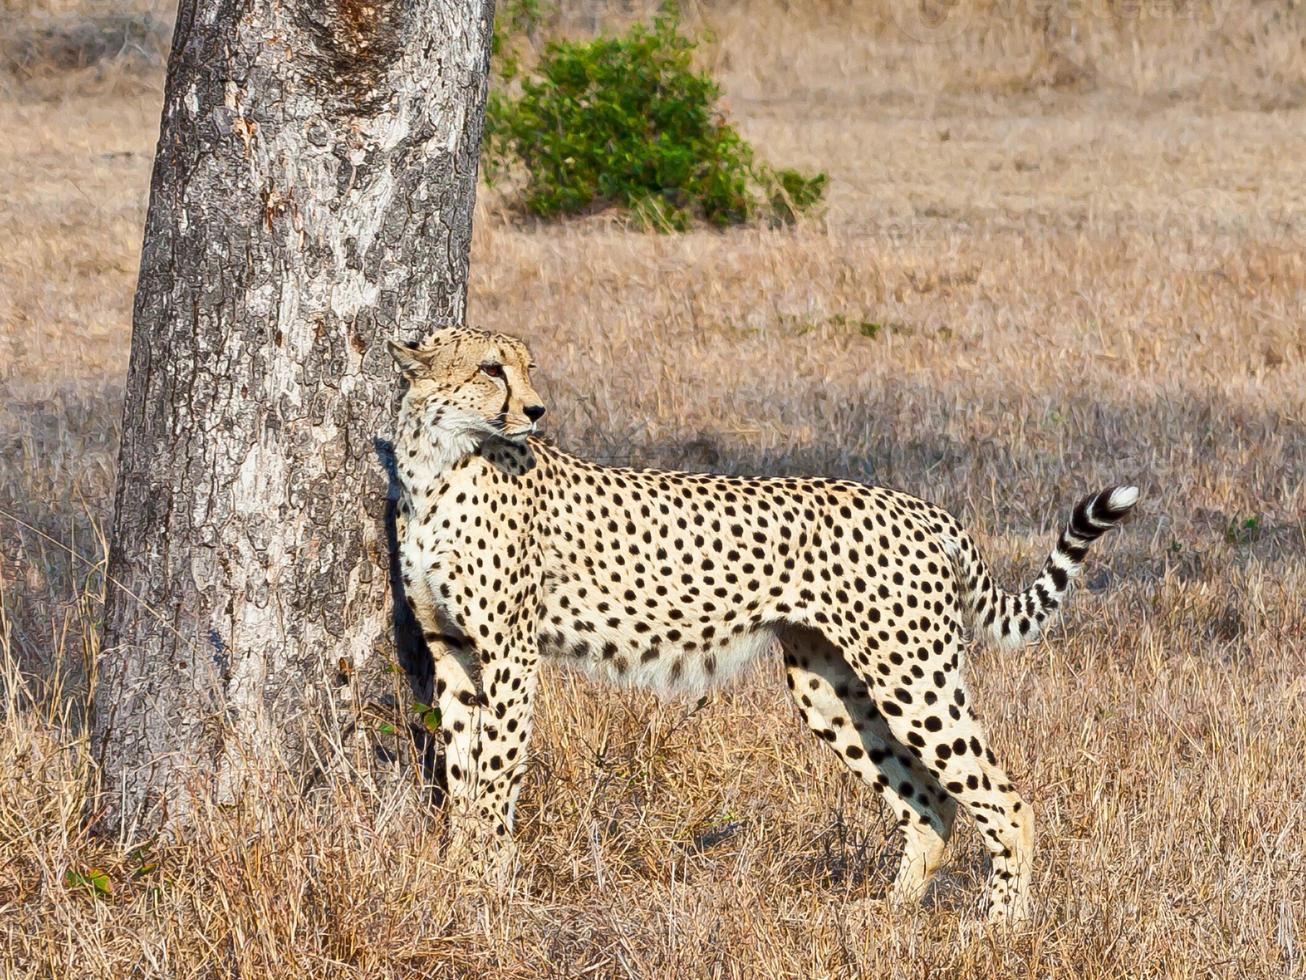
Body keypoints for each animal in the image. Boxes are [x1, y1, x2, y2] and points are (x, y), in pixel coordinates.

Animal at [383, 327, 1133, 919]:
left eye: (527, 367)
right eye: (491, 368)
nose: (537, 410)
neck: (437, 467)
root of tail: (922, 506)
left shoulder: (511, 652)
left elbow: (496, 774)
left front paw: (486, 885)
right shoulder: (454, 651)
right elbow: (463, 771)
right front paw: (460, 874)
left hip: (910, 672)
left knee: (1005, 799)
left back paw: (998, 926)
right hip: (829, 687)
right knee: (930, 804)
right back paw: (886, 917)